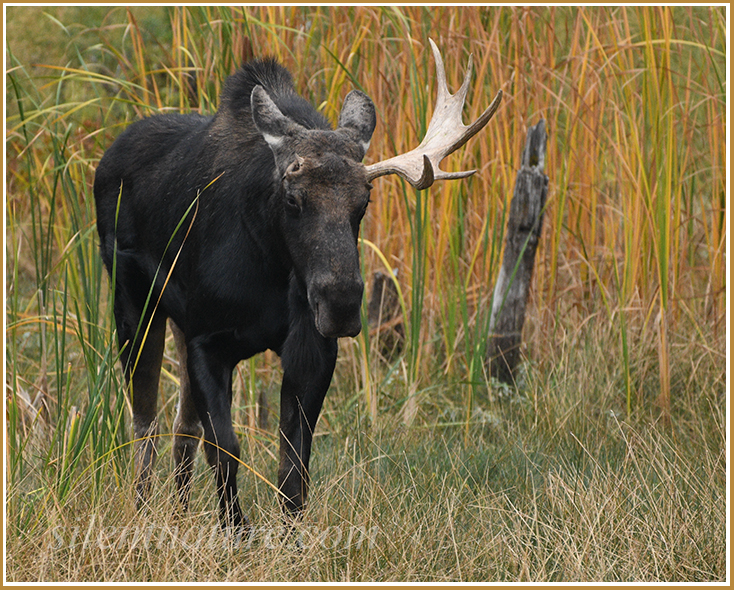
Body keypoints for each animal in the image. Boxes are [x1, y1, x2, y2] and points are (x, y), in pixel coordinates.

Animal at [93, 39, 501, 528]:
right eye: (292, 197)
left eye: (364, 201)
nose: (340, 304)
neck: (270, 273)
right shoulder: (207, 341)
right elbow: (226, 450)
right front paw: (237, 532)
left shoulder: (311, 350)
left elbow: (293, 467)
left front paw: (291, 537)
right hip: (133, 305)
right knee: (145, 422)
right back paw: (142, 513)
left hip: (175, 322)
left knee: (181, 426)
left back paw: (178, 512)